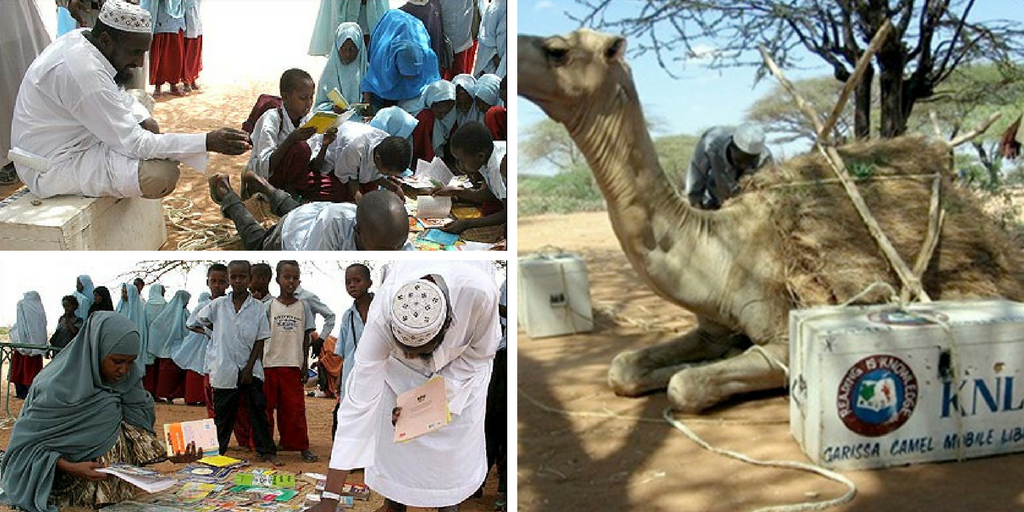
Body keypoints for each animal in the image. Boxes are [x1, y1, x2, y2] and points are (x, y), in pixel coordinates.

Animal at [520, 28, 1024, 413]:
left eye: (556, 50)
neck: (718, 247)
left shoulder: (783, 336)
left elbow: (686, 386)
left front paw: (688, 372)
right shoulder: (711, 327)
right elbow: (622, 368)